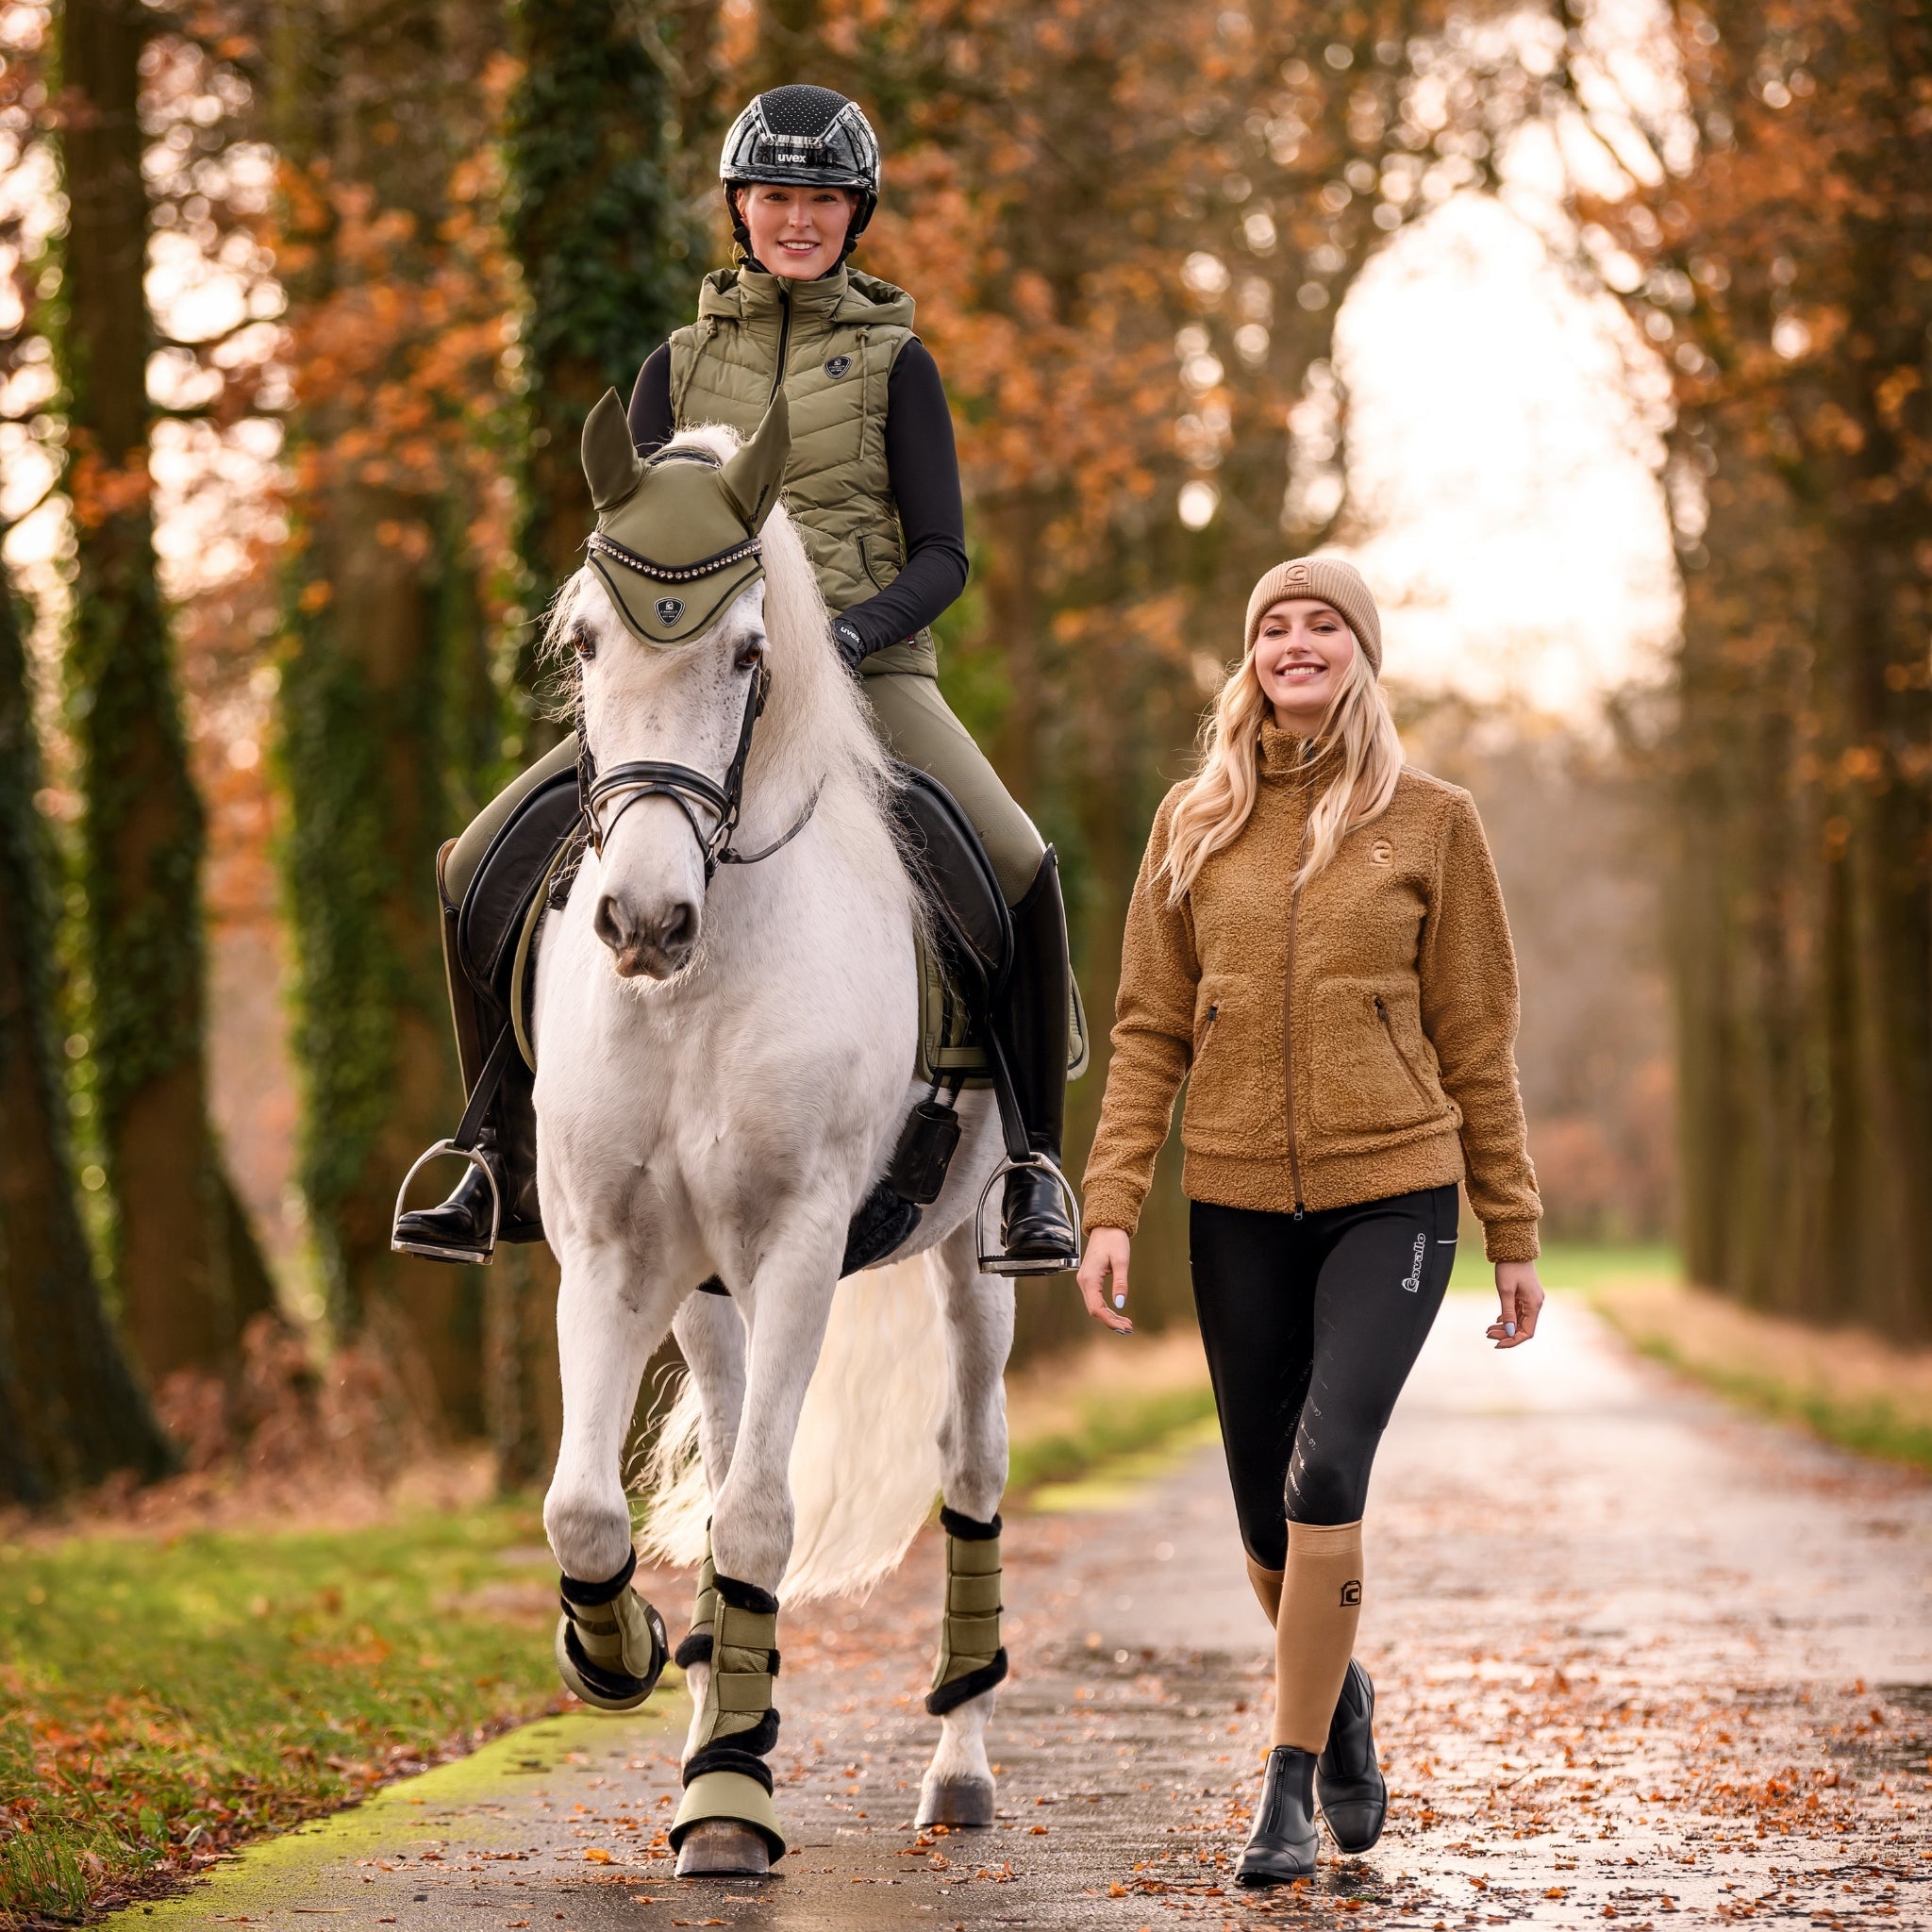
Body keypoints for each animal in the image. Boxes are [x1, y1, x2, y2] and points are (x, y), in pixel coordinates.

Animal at [530, 401, 1030, 1878]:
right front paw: (626, 1655)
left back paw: (955, 1769)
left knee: (969, 1468)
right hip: (707, 1294)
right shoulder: (610, 1251)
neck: (701, 985)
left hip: (975, 1264)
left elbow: (760, 1507)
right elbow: (588, 1507)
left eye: (750, 652)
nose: (644, 921)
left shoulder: (799, 1244)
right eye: (588, 640)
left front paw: (732, 1803)